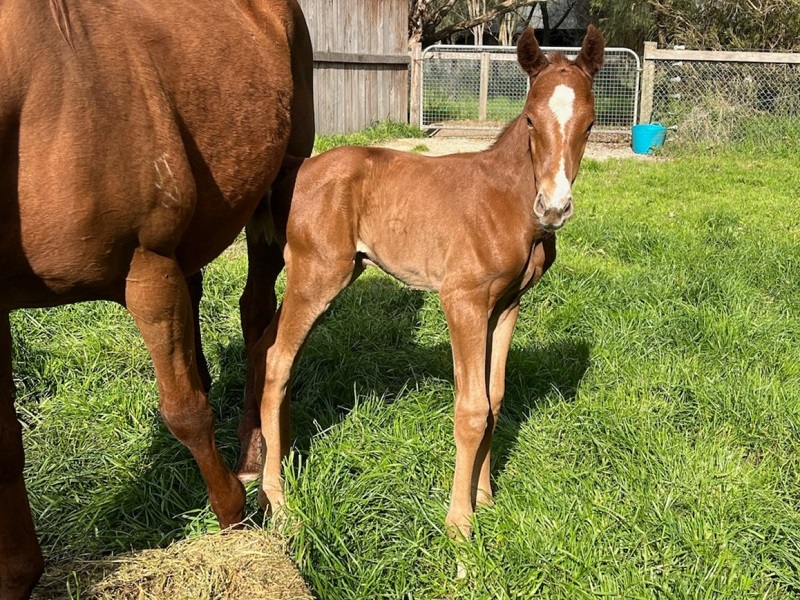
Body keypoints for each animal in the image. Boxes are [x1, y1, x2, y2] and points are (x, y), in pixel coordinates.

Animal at [0, 0, 312, 597]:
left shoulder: (147, 271)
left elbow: (185, 411)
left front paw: (232, 518)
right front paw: (19, 573)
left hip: (279, 186)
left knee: (258, 319)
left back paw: (251, 452)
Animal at [251, 26, 605, 541]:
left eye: (591, 123)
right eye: (531, 120)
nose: (554, 208)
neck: (509, 200)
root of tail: (297, 171)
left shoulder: (506, 306)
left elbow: (495, 397)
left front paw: (486, 498)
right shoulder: (463, 300)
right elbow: (472, 408)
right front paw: (460, 525)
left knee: (265, 349)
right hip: (317, 275)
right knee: (278, 360)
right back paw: (277, 501)